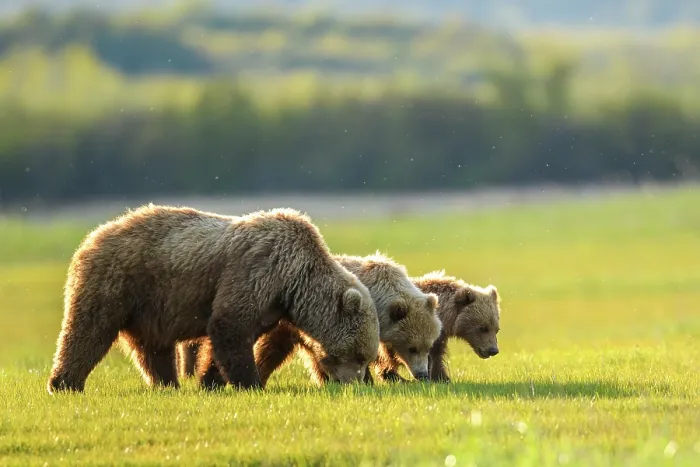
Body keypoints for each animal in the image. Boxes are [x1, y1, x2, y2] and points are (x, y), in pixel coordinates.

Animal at [47, 204, 380, 394]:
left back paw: (167, 384)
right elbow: (229, 325)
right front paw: (250, 383)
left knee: (152, 349)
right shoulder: (256, 268)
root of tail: (92, 236)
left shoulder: (269, 304)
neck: (293, 281)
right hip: (118, 282)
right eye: (359, 355)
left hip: (149, 307)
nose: (356, 383)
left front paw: (211, 381)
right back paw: (64, 383)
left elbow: (233, 337)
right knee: (88, 331)